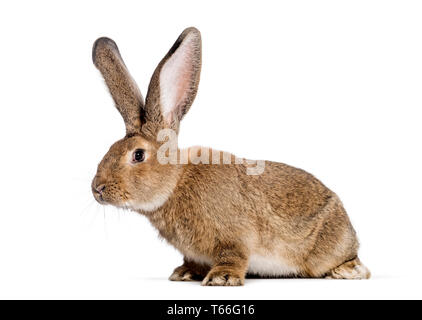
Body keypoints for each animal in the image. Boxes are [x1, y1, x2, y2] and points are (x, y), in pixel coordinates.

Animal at [91, 27, 370, 286]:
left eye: (138, 155)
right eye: (109, 149)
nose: (97, 189)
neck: (175, 183)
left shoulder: (235, 237)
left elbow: (233, 256)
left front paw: (221, 278)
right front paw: (183, 273)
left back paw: (348, 271)